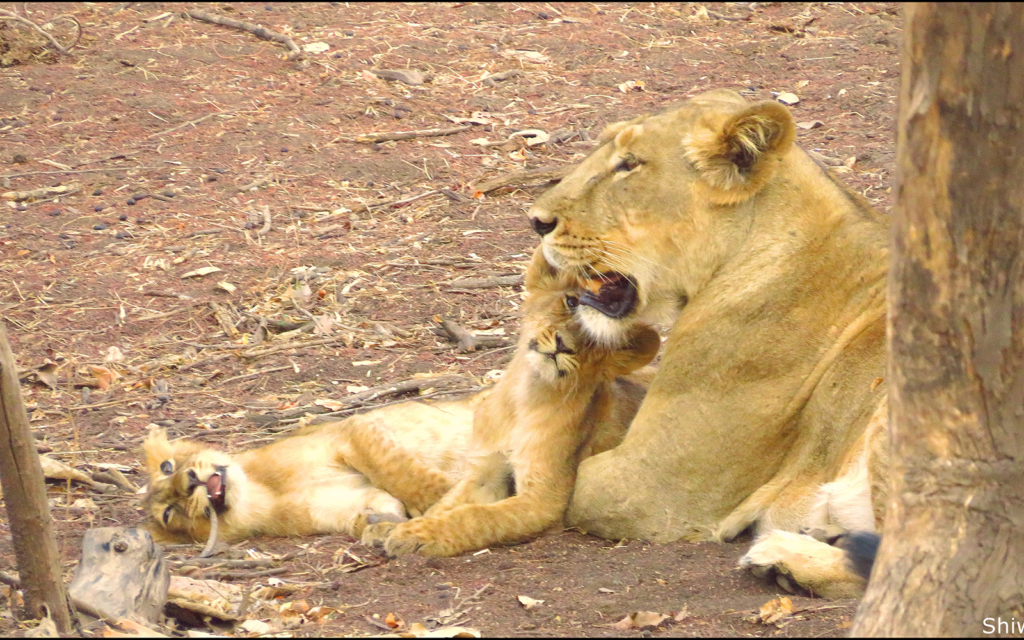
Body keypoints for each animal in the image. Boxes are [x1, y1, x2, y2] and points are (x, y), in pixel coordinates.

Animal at [359, 247, 661, 557]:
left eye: (599, 341)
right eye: (571, 301)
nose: (563, 345)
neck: (524, 397)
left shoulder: (544, 499)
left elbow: (477, 517)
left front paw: (417, 534)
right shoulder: (486, 469)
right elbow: (445, 506)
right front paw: (393, 528)